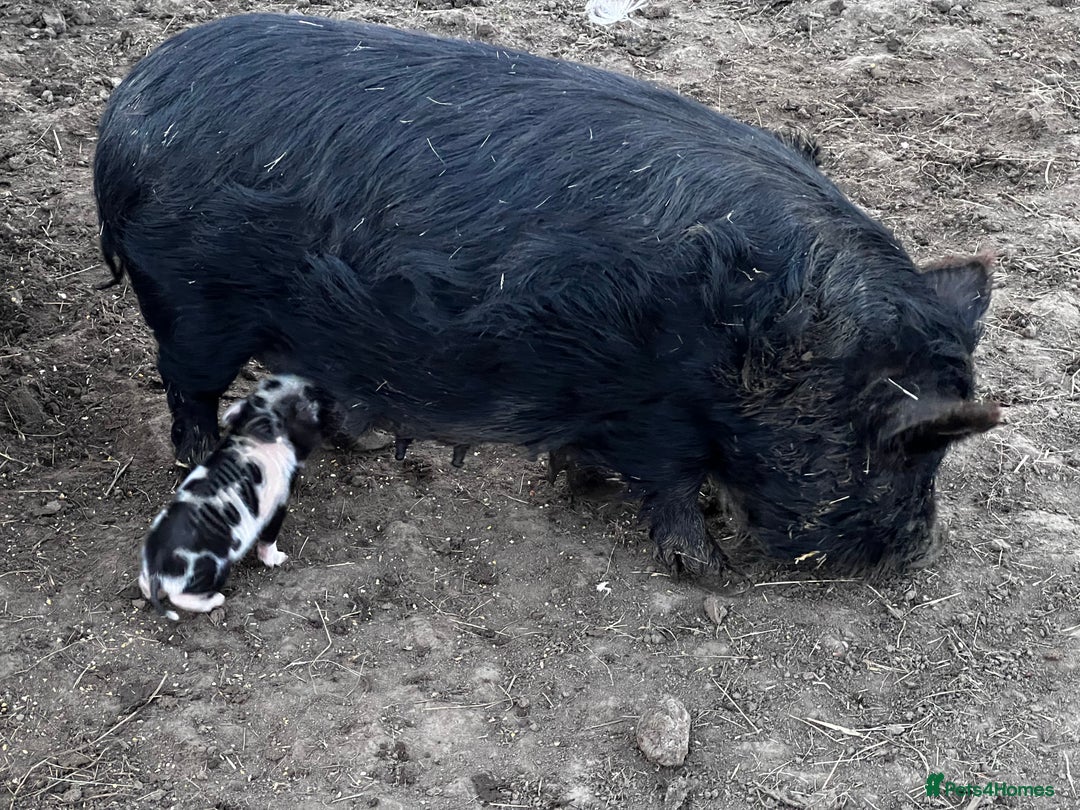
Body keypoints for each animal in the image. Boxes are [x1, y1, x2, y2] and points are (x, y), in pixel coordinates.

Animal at [96, 14, 1000, 576]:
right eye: (906, 447)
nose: (916, 553)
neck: (776, 347)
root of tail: (126, 107)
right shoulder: (657, 407)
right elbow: (670, 483)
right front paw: (704, 569)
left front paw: (586, 482)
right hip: (190, 301)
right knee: (184, 385)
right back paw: (191, 453)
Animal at [138, 375, 326, 620]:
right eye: (304, 400)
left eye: (271, 382)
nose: (308, 380)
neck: (255, 427)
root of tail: (157, 570)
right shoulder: (277, 502)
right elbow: (269, 538)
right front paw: (280, 559)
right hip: (213, 568)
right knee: (181, 598)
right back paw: (218, 599)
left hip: (147, 571)